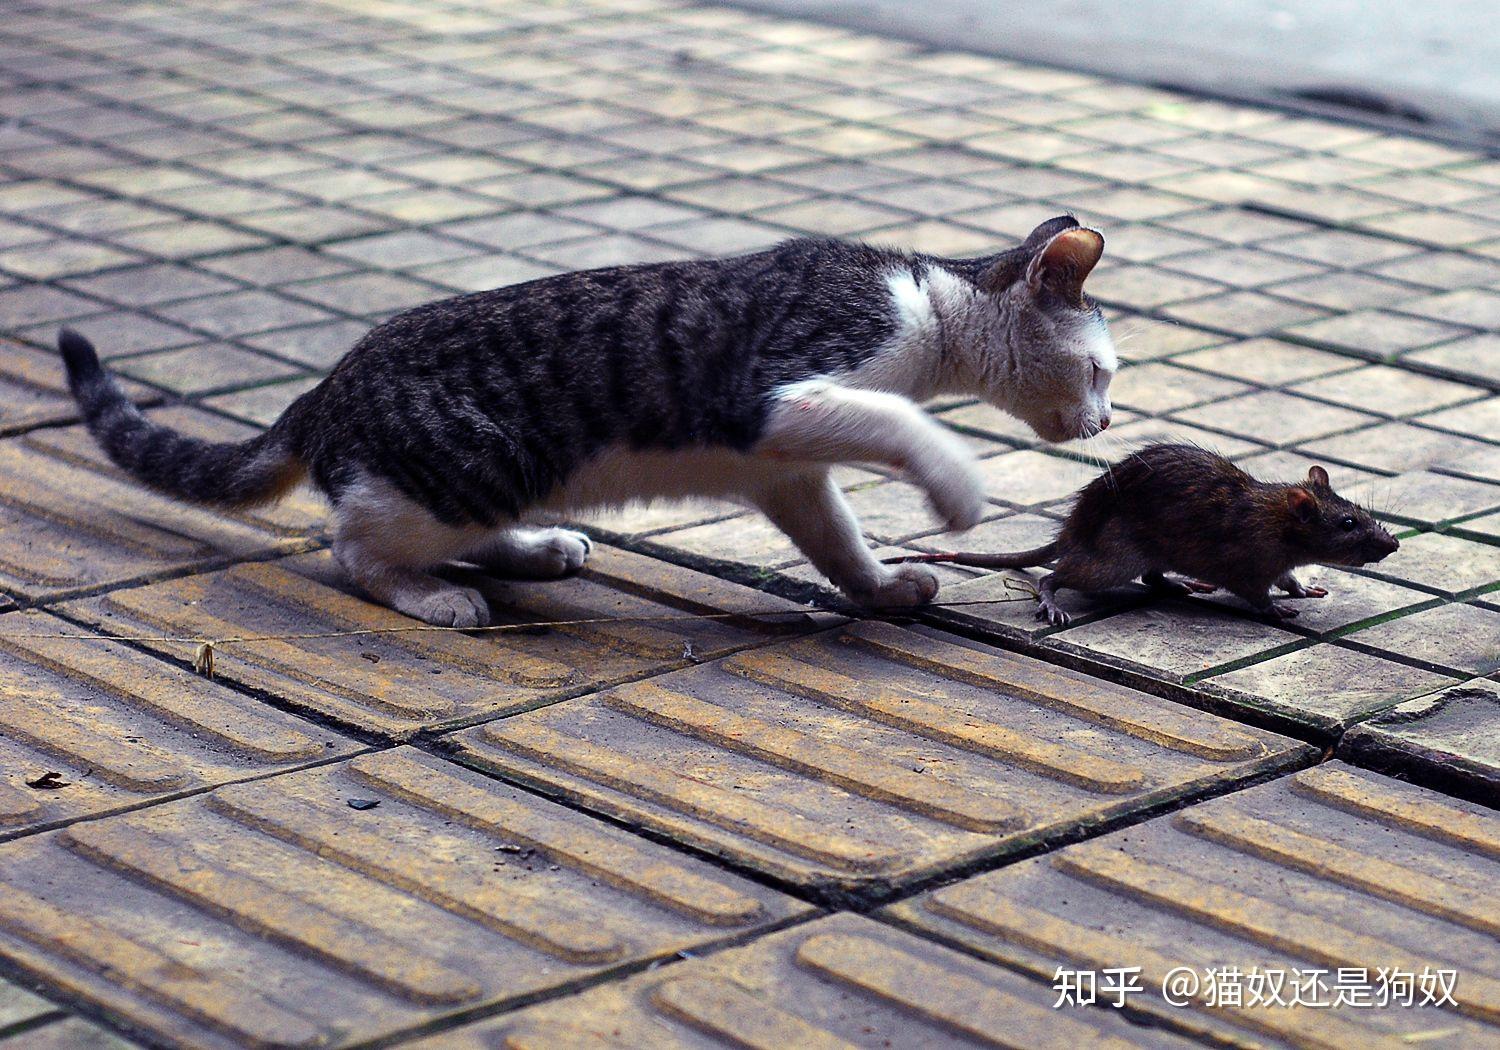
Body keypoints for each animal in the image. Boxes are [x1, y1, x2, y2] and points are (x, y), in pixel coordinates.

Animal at [58, 213, 1116, 624]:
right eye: (1103, 369)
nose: (1107, 425)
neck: (928, 304)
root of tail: (326, 389)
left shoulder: (783, 466)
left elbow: (835, 539)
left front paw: (881, 587)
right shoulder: (785, 396)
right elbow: (906, 428)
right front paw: (958, 487)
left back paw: (536, 550)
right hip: (476, 463)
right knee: (353, 547)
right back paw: (432, 596)